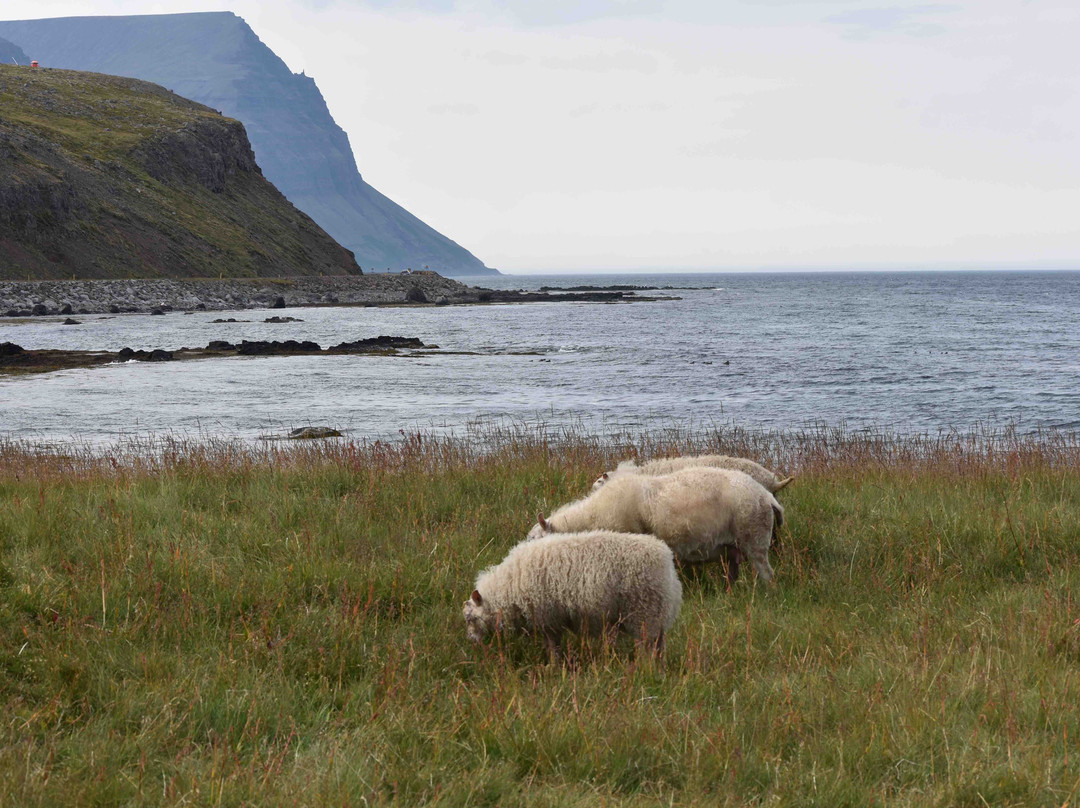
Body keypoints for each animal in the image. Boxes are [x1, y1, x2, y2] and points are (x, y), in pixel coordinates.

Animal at [460, 533, 678, 661]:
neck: (509, 585)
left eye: (471, 618)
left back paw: (643, 668)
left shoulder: (548, 617)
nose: (471, 641)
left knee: (645, 646)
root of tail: (666, 558)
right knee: (659, 645)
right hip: (656, 614)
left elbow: (552, 646)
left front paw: (554, 666)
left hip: (644, 612)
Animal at [529, 464, 777, 583]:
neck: (592, 516)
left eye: (533, 539)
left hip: (755, 537)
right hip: (734, 547)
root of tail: (766, 494)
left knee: (767, 573)